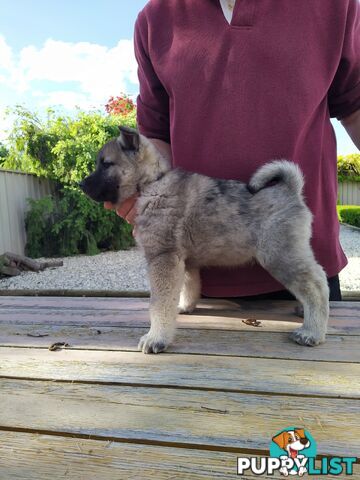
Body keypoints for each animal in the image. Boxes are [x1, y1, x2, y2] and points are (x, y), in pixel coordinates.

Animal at [79, 125, 330, 354]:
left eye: (106, 164)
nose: (81, 185)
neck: (152, 183)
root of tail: (291, 191)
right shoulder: (184, 261)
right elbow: (186, 287)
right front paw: (184, 306)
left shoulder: (163, 258)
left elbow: (159, 304)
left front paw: (156, 337)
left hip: (280, 255)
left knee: (316, 285)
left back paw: (311, 332)